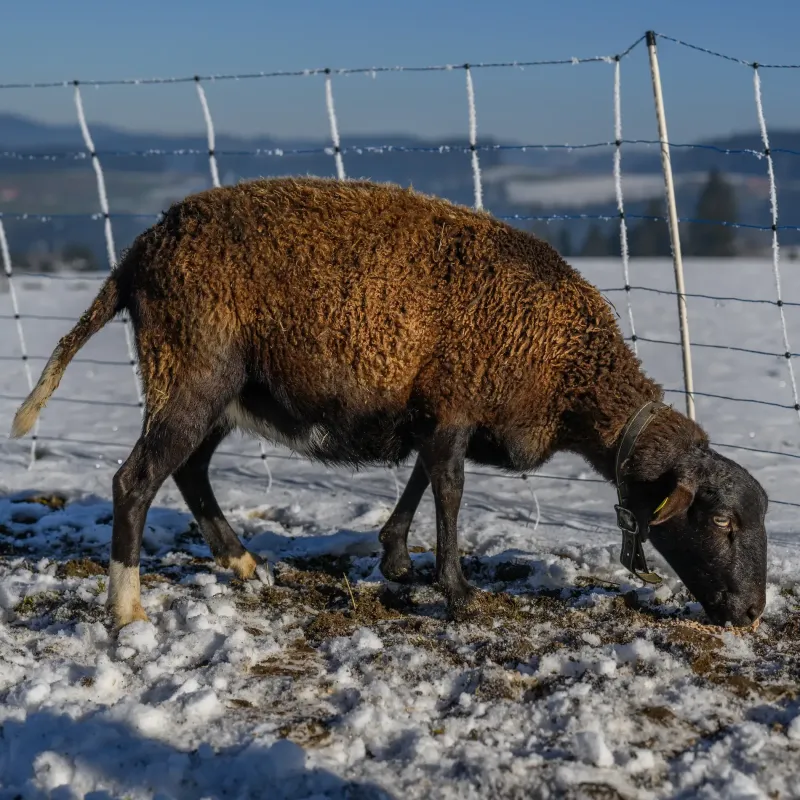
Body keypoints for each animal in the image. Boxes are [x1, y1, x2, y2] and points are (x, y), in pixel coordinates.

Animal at [10, 176, 767, 631]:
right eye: (721, 523)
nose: (751, 611)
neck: (569, 375)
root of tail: (137, 253)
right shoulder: (457, 404)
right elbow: (450, 490)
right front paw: (457, 593)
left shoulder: (435, 412)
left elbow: (422, 476)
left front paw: (397, 559)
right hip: (192, 371)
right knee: (135, 480)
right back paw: (126, 608)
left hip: (222, 392)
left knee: (189, 473)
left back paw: (245, 567)